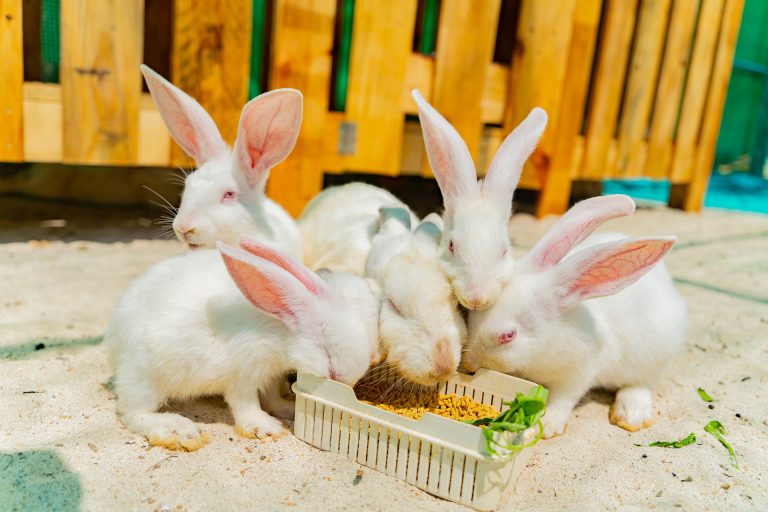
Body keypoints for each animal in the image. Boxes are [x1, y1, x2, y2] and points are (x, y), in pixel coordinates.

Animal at [106, 236, 380, 450]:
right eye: (329, 360)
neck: (279, 327)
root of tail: (114, 341)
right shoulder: (242, 376)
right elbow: (245, 404)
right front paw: (266, 427)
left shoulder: (271, 376)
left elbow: (271, 396)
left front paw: (286, 408)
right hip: (144, 376)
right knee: (132, 412)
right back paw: (177, 428)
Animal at [463, 194, 688, 438]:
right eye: (470, 318)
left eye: (508, 336)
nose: (469, 365)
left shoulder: (578, 374)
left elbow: (563, 399)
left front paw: (546, 427)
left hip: (654, 356)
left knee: (641, 383)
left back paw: (631, 415)